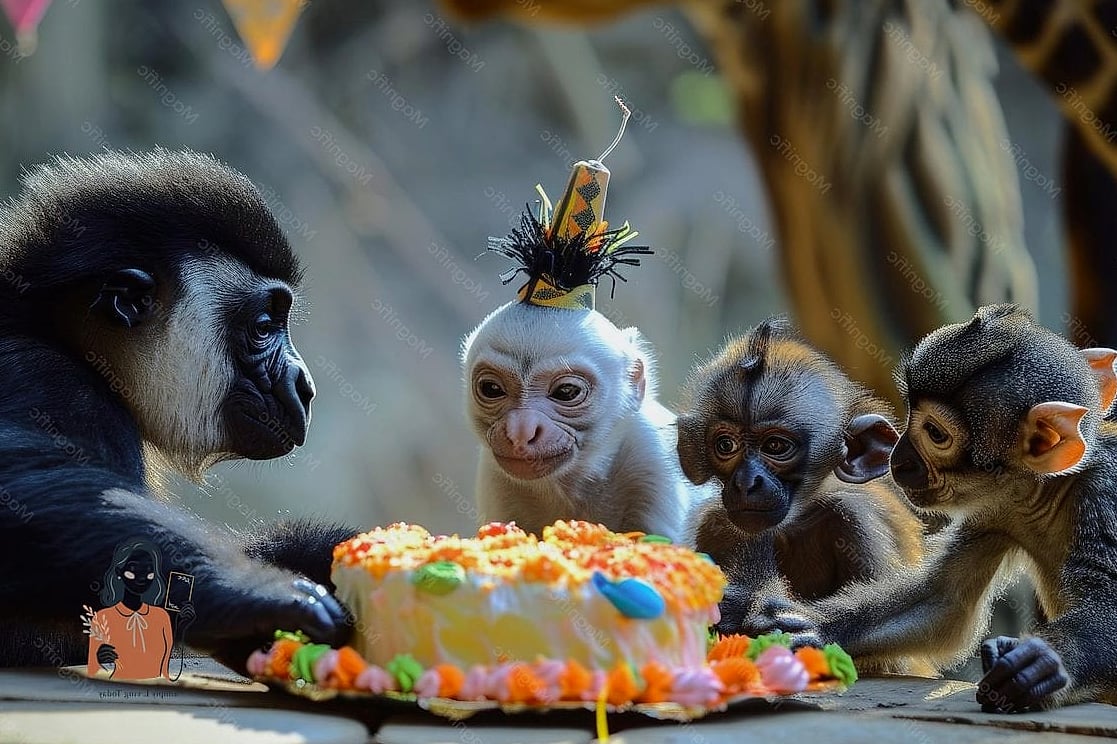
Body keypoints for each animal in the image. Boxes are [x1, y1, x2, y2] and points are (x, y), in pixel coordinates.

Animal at [676, 318, 927, 658]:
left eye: (775, 446)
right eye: (726, 445)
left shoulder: (856, 521)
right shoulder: (714, 523)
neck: (793, 524)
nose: (746, 481)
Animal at [751, 304, 1117, 710]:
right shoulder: (996, 508)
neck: (1049, 490)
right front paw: (810, 632)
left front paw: (1043, 662)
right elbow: (943, 603)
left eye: (935, 434)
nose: (898, 460)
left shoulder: (1101, 495)